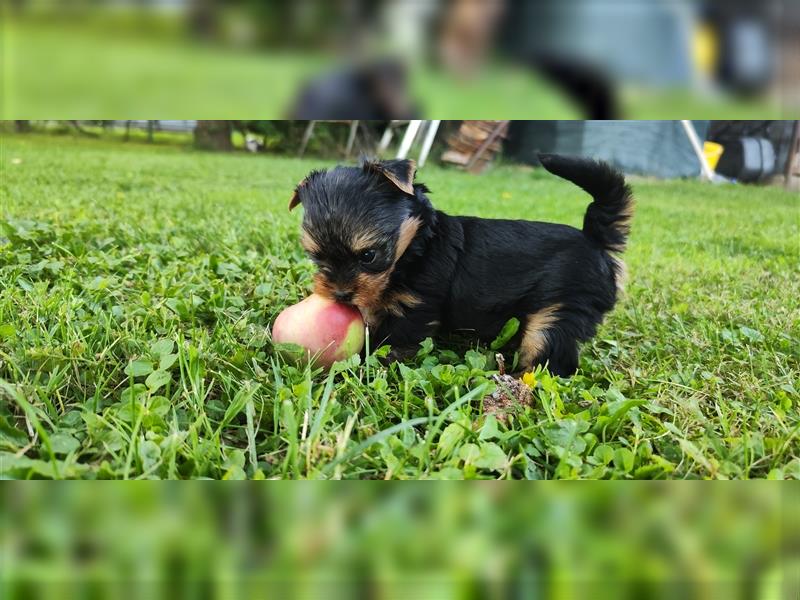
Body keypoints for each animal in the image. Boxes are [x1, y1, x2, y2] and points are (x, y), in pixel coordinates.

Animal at [288, 157, 632, 378]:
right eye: (316, 257)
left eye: (369, 256)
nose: (341, 294)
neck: (415, 248)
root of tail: (594, 241)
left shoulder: (415, 307)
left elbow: (392, 344)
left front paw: (369, 366)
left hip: (559, 311)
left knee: (551, 359)